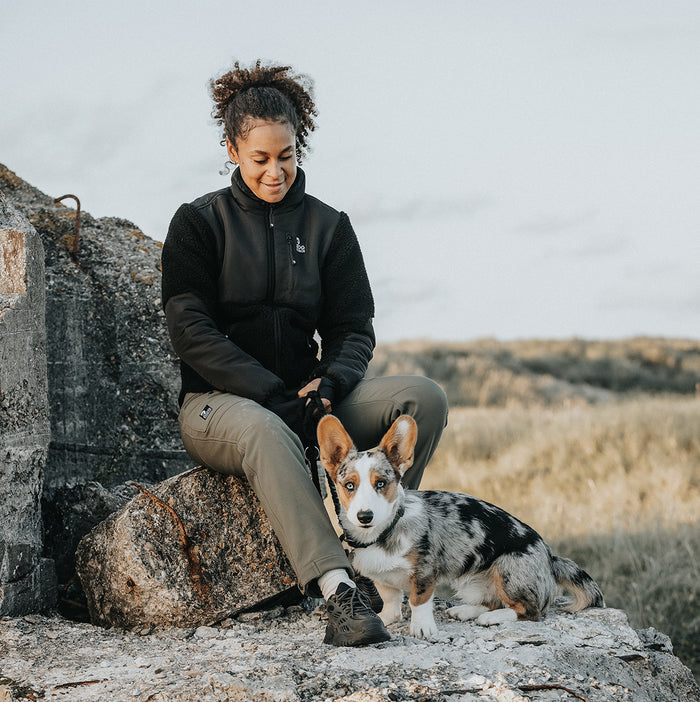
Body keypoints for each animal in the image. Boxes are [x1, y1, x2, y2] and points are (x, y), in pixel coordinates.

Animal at [318, 416, 600, 640]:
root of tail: (550, 558)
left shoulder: (425, 572)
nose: (364, 516)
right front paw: (386, 618)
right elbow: (390, 598)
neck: (382, 532)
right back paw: (464, 611)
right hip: (473, 584)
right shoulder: (381, 575)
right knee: (490, 601)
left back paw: (492, 618)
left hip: (508, 570)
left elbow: (418, 600)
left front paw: (422, 628)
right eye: (349, 485)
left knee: (530, 611)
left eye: (381, 483)